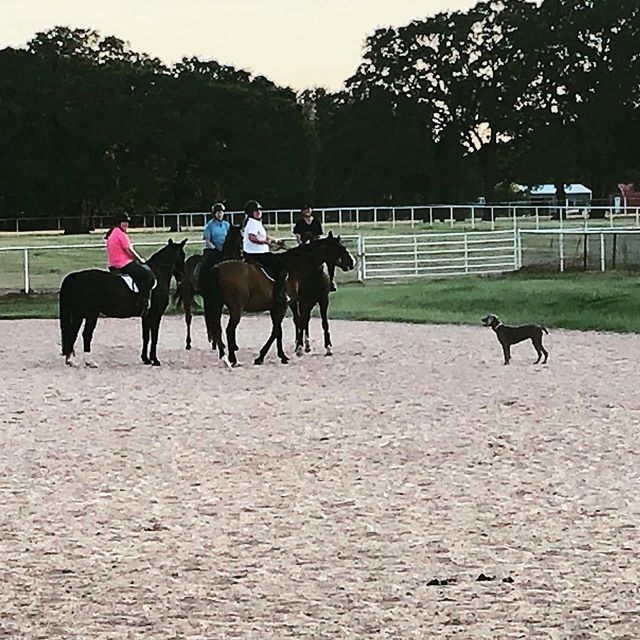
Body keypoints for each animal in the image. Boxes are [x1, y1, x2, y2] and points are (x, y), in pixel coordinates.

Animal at [59, 236, 188, 368]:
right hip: (91, 314)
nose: (182, 277)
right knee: (86, 334)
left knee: (72, 332)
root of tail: (76, 276)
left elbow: (146, 337)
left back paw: (71, 360)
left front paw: (145, 359)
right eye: (182, 255)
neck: (158, 275)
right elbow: (154, 337)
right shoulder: (156, 315)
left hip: (78, 314)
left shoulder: (146, 316)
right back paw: (90, 362)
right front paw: (155, 360)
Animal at [200, 232, 352, 368]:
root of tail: (217, 269)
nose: (352, 262)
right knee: (229, 330)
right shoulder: (282, 306)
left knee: (218, 330)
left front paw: (281, 356)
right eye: (341, 248)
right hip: (235, 308)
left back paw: (224, 358)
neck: (293, 268)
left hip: (218, 305)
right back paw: (233, 359)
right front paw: (262, 357)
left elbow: (278, 331)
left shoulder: (277, 307)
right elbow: (276, 331)